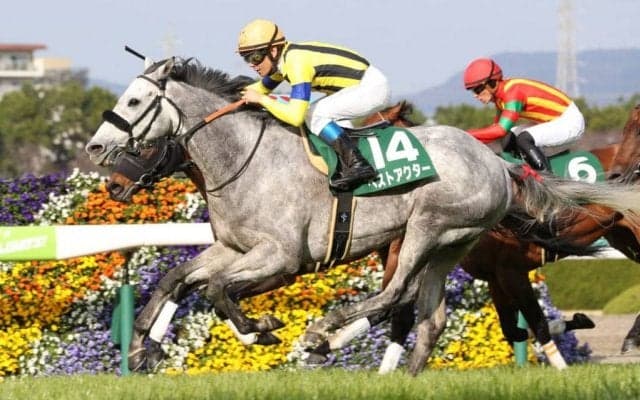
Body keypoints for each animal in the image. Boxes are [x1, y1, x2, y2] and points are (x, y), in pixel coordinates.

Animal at [85, 57, 640, 376]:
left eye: (134, 100)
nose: (96, 151)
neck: (246, 159)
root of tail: (498, 166)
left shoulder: (281, 259)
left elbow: (219, 291)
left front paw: (263, 329)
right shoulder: (234, 248)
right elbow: (177, 280)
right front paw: (142, 350)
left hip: (426, 228)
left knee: (397, 295)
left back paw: (321, 331)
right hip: (450, 244)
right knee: (430, 315)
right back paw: (405, 373)